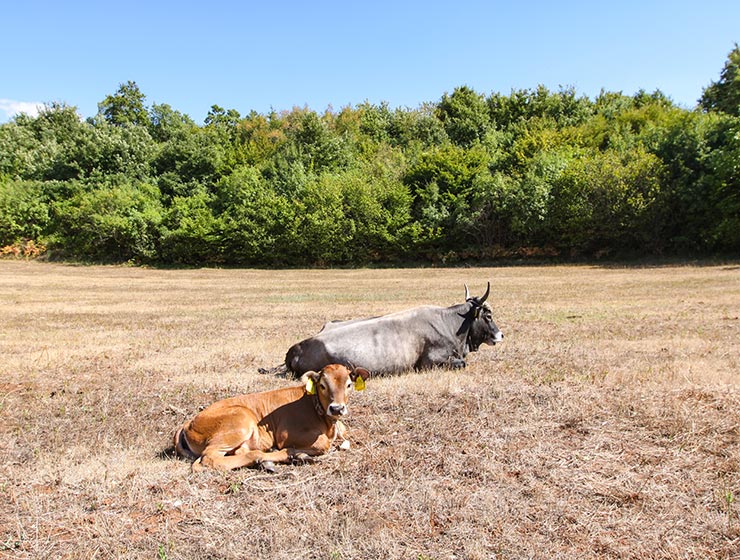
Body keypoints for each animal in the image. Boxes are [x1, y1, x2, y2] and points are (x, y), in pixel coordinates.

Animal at [174, 364, 370, 472]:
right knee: (210, 459)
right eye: (322, 385)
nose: (336, 408)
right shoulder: (286, 435)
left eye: (349, 384)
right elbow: (324, 443)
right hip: (241, 420)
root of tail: (188, 422)